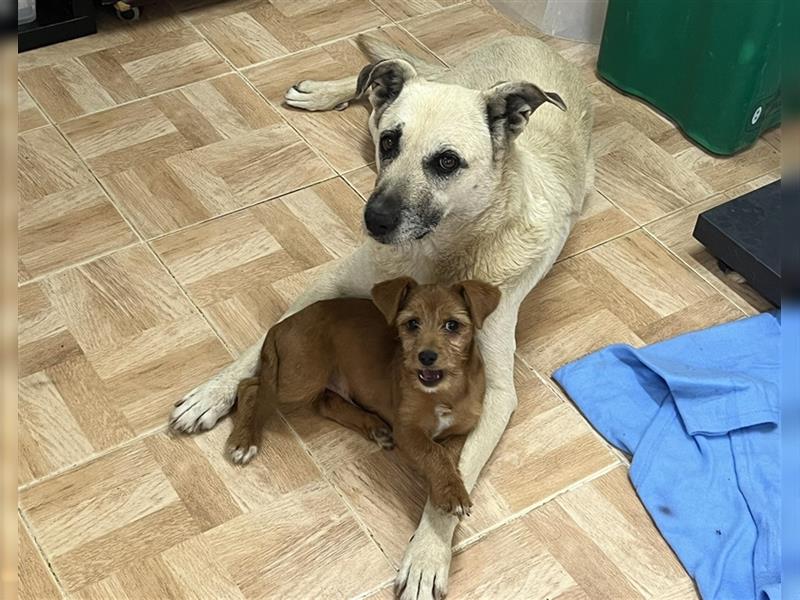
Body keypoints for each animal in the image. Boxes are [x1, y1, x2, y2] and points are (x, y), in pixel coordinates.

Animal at [227, 276, 500, 516]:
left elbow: (448, 454)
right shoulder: (406, 428)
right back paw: (244, 441)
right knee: (250, 387)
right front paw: (452, 493)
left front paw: (449, 485)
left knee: (325, 403)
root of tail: (282, 323)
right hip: (301, 379)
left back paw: (375, 427)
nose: (426, 357)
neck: (444, 392)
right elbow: (434, 452)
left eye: (452, 325)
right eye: (412, 323)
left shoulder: (462, 429)